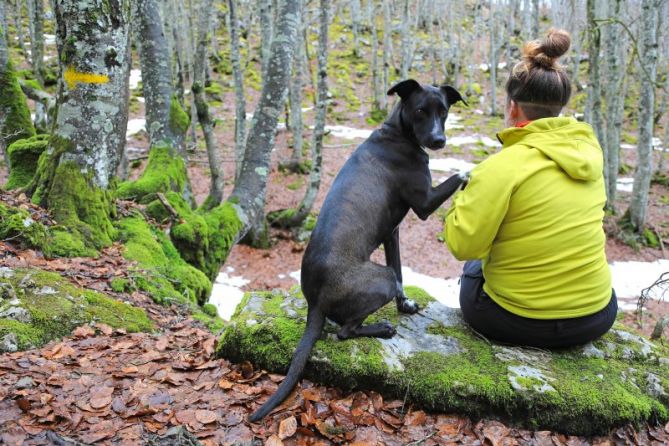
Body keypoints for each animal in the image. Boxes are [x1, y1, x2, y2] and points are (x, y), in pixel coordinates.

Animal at [248, 79, 468, 422]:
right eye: (421, 110)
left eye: (443, 111)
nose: (438, 140)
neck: (397, 133)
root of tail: (315, 303)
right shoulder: (425, 203)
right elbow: (459, 174)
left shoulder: (392, 233)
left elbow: (403, 273)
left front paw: (405, 305)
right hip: (381, 279)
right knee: (344, 331)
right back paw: (381, 328)